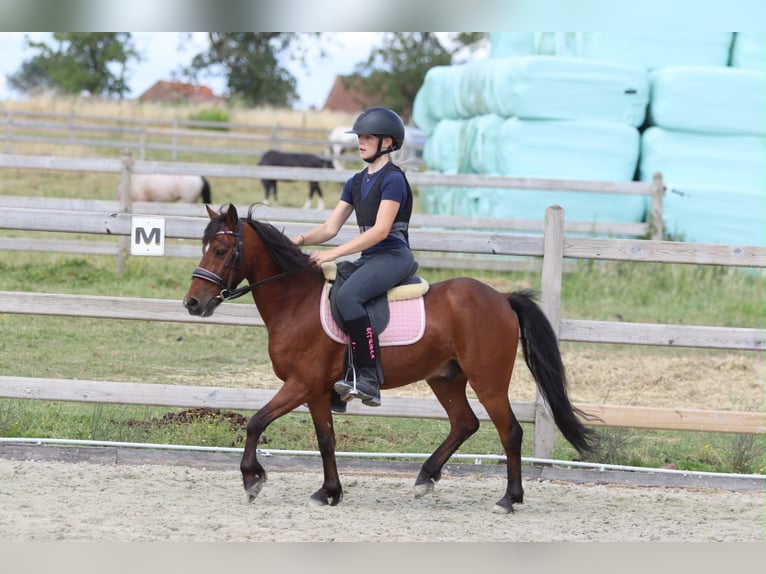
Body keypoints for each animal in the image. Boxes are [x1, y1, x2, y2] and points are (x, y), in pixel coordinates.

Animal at [182, 203, 596, 514]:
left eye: (220, 251)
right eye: (203, 248)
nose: (192, 303)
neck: (294, 301)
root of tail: (502, 298)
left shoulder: (300, 384)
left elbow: (256, 422)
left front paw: (252, 479)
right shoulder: (315, 391)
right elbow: (326, 439)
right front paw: (329, 492)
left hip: (488, 380)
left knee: (509, 431)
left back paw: (509, 499)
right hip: (445, 377)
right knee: (464, 423)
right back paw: (426, 478)